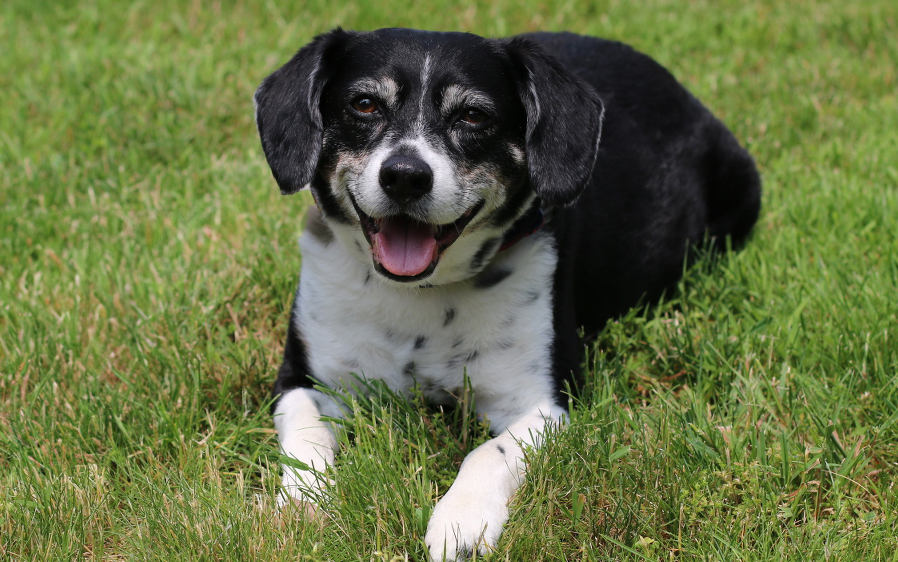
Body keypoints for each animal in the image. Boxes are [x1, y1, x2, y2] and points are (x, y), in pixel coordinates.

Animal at [250, 28, 756, 556]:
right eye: (364, 104)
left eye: (474, 115)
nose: (405, 175)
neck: (418, 295)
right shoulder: (305, 380)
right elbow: (306, 434)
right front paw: (301, 505)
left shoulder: (542, 402)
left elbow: (488, 452)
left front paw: (461, 521)